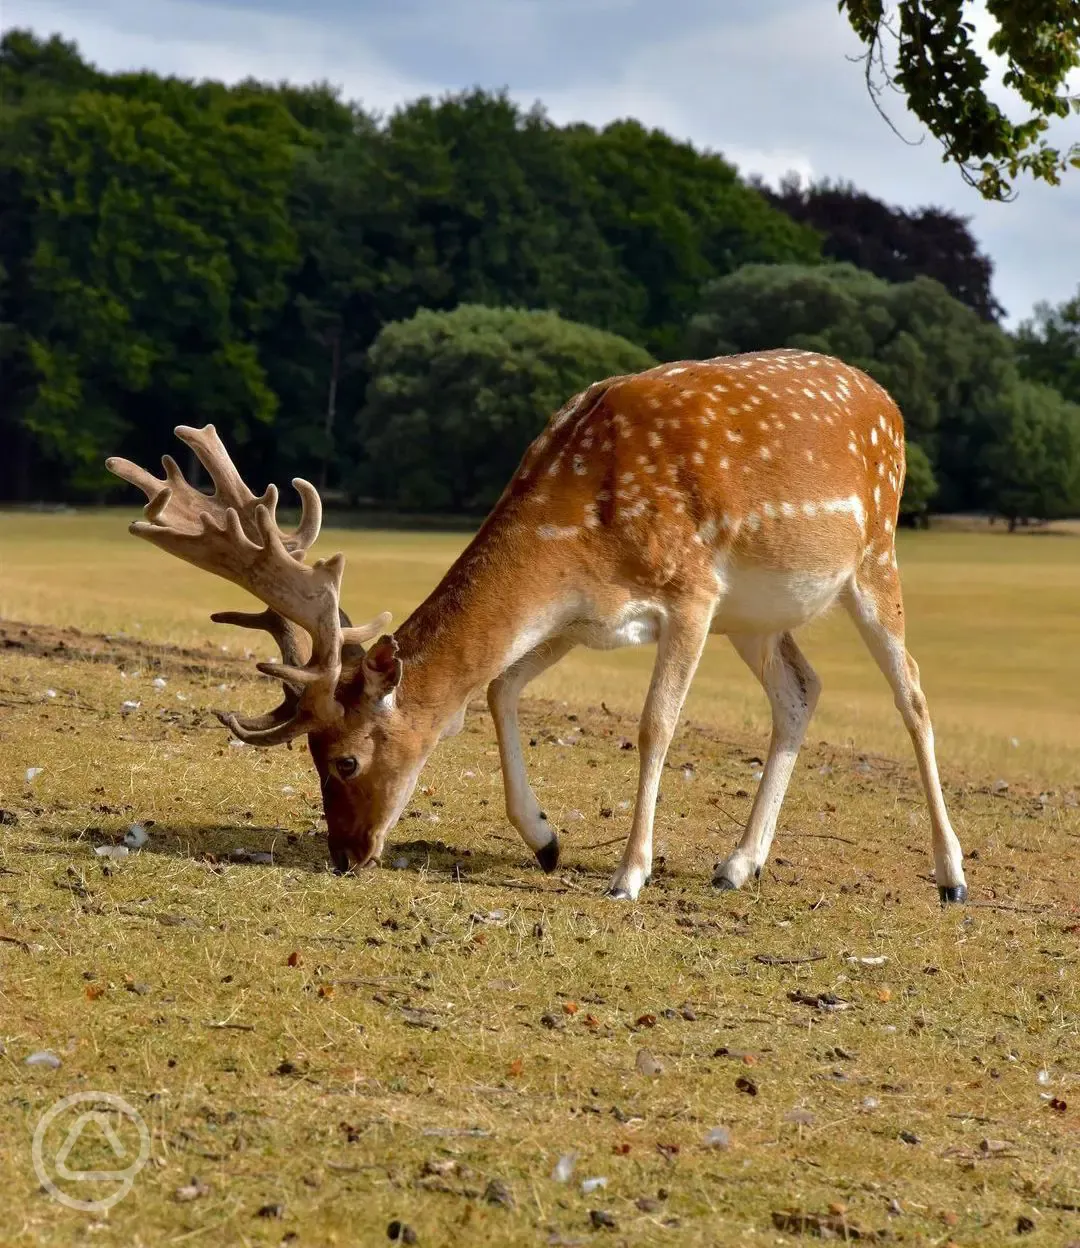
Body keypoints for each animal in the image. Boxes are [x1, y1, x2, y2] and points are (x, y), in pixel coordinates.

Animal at [107, 346, 968, 903]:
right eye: (311, 755)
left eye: (345, 760)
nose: (347, 855)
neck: (580, 533)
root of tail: (890, 404)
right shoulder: (578, 617)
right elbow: (497, 689)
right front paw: (546, 840)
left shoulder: (690, 592)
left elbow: (655, 723)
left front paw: (628, 873)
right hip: (756, 616)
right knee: (801, 690)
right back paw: (737, 865)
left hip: (872, 558)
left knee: (914, 693)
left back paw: (951, 874)